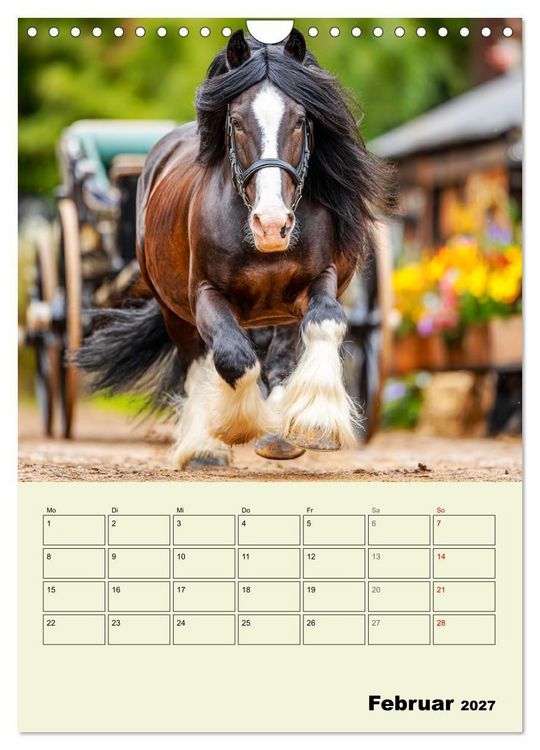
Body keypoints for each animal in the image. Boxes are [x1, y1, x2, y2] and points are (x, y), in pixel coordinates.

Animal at [77, 28, 392, 469]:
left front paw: (314, 425)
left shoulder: (318, 280)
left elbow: (324, 323)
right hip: (173, 309)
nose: (272, 225)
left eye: (301, 120)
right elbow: (234, 358)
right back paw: (203, 446)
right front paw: (234, 427)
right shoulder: (205, 295)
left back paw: (277, 434)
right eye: (238, 122)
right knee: (196, 359)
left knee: (279, 355)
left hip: (278, 311)